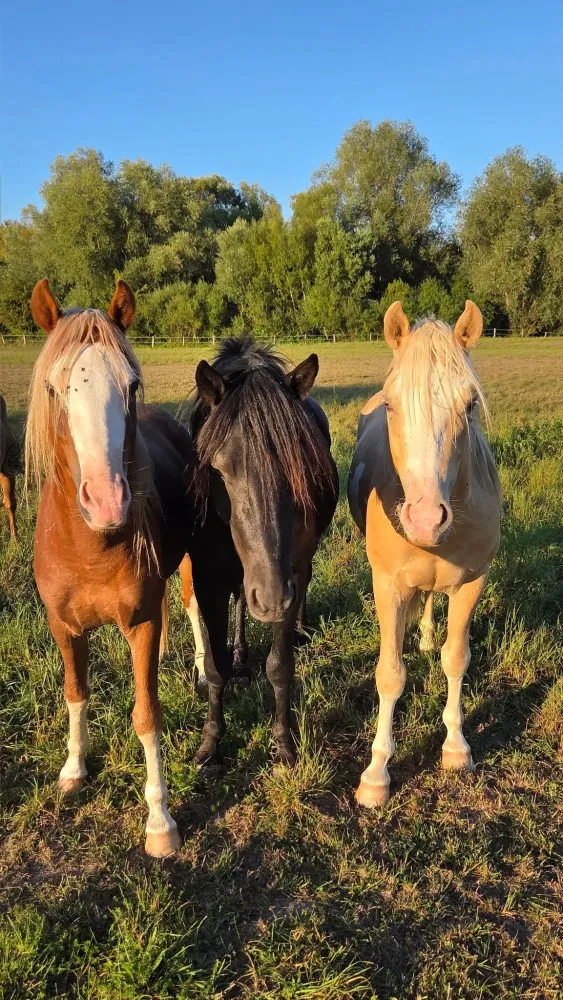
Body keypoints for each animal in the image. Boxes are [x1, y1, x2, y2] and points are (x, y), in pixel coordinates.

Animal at [27, 278, 206, 857]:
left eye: (130, 386)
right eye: (54, 390)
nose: (106, 500)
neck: (90, 546)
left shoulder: (141, 623)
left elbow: (146, 717)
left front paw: (160, 821)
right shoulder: (63, 627)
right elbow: (75, 693)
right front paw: (73, 769)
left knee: (193, 606)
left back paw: (201, 668)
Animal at [189, 336, 339, 769]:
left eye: (301, 464)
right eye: (219, 469)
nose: (271, 599)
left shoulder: (287, 575)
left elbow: (280, 666)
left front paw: (284, 742)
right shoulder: (208, 579)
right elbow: (215, 665)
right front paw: (211, 742)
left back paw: (302, 628)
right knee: (241, 597)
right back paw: (241, 652)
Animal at [348, 301, 501, 807]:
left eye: (469, 404)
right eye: (392, 405)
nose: (424, 520)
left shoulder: (473, 581)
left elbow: (457, 659)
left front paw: (455, 747)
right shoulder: (387, 586)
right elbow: (390, 675)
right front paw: (376, 775)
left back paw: (429, 636)